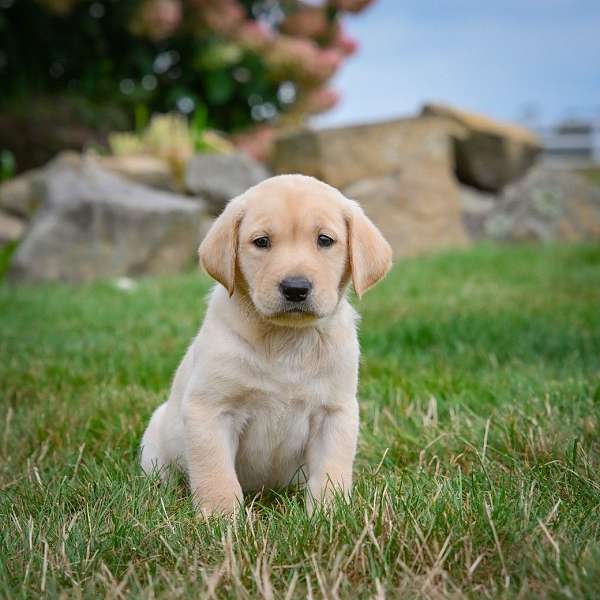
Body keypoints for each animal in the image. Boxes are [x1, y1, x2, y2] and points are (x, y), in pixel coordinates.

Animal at [141, 175, 394, 516]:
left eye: (324, 240)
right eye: (261, 242)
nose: (295, 288)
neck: (287, 340)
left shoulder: (335, 412)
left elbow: (331, 471)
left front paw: (329, 515)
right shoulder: (210, 410)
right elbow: (216, 473)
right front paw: (220, 518)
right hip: (155, 441)